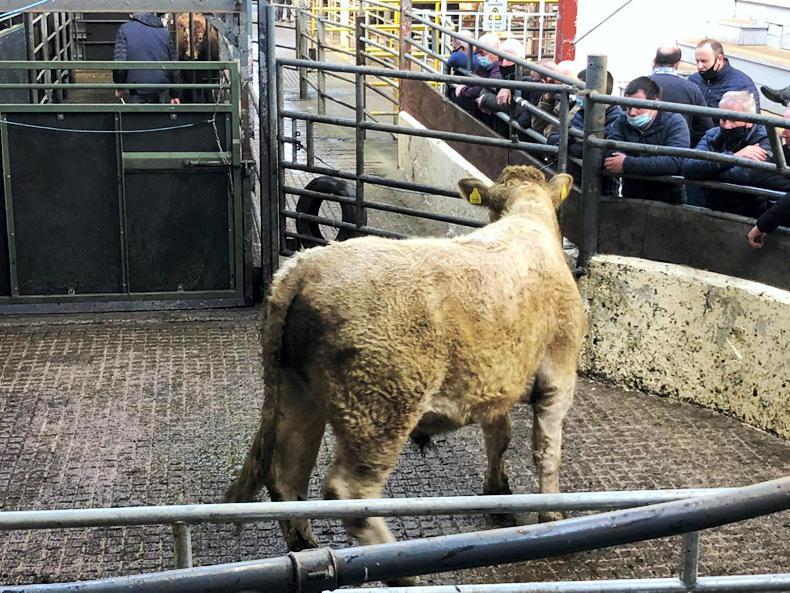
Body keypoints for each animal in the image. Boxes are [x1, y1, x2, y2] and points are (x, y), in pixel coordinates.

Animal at [226, 166, 586, 580]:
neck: (526, 217)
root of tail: (303, 269)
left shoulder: (497, 381)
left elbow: (499, 438)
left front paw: (498, 491)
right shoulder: (558, 374)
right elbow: (546, 450)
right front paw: (552, 515)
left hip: (296, 391)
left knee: (287, 476)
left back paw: (307, 548)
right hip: (380, 408)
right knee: (348, 492)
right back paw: (399, 566)